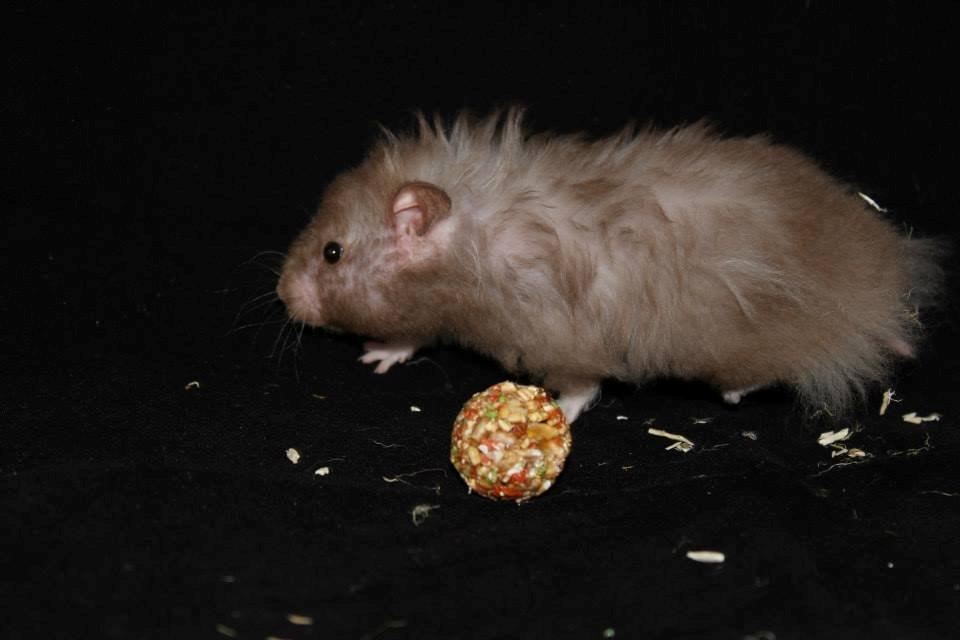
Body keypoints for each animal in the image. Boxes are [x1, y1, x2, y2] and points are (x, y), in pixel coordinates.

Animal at [277, 109, 944, 422]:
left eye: (333, 252)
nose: (283, 294)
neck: (471, 246)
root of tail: (886, 298)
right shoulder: (436, 314)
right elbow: (411, 333)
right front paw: (377, 356)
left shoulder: (559, 339)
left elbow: (582, 386)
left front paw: (554, 411)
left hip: (763, 338)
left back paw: (733, 393)